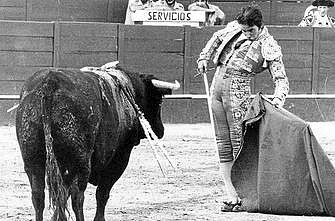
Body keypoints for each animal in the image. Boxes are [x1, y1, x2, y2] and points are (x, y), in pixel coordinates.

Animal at [15, 66, 178, 220]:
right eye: (159, 100)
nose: (160, 130)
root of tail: (50, 82)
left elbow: (62, 194)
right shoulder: (119, 158)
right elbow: (102, 193)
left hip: (32, 159)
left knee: (38, 195)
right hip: (80, 163)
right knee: (77, 196)